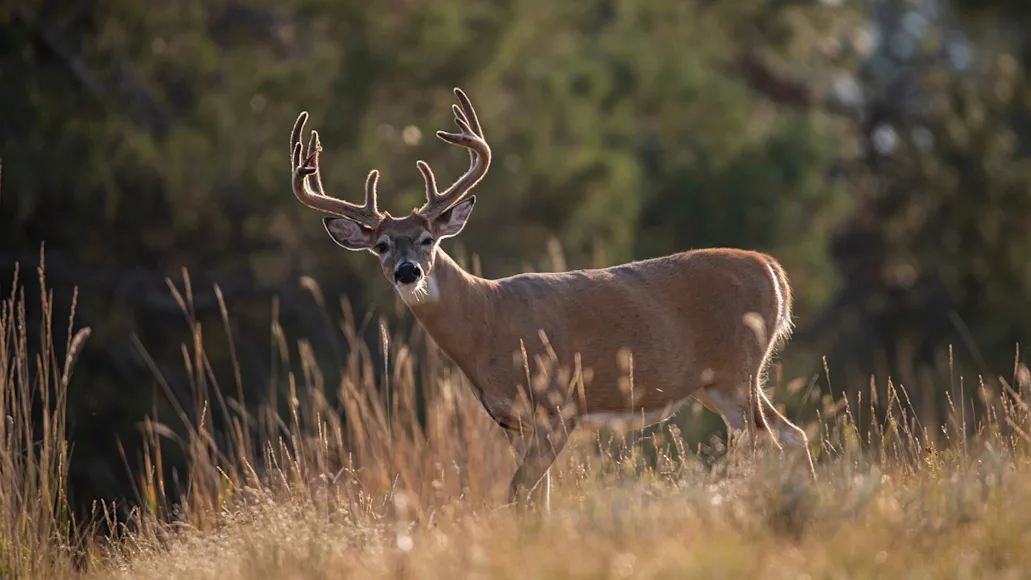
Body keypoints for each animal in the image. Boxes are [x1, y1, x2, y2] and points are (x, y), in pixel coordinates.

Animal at [288, 88, 816, 511]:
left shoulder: (559, 403)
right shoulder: (513, 423)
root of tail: (773, 271)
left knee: (773, 443)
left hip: (737, 373)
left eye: (426, 239)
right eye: (380, 245)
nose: (407, 271)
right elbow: (534, 496)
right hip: (723, 383)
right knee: (794, 435)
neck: (487, 320)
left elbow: (519, 492)